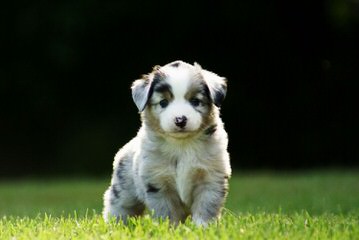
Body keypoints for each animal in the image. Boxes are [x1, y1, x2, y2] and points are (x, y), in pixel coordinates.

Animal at [103, 60, 233, 227]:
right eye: (163, 102)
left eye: (195, 101)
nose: (180, 120)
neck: (182, 145)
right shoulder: (158, 183)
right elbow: (166, 213)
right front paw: (169, 228)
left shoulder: (210, 178)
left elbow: (206, 208)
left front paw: (203, 228)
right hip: (124, 191)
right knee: (119, 208)